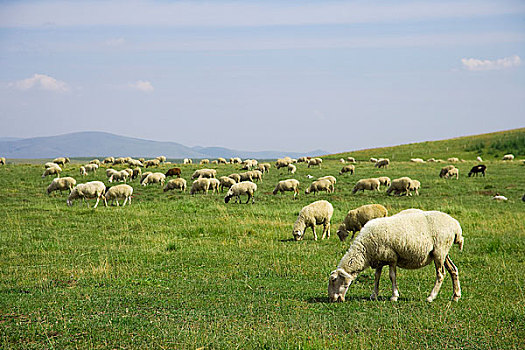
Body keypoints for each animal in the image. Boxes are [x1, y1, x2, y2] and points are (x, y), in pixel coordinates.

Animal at [328, 211, 462, 304]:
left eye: (333, 280)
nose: (332, 299)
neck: (365, 249)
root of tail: (455, 225)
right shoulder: (379, 259)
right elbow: (377, 276)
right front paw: (374, 295)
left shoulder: (392, 257)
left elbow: (392, 276)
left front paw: (394, 296)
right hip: (444, 253)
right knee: (453, 270)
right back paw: (456, 296)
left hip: (439, 251)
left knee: (441, 274)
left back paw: (431, 297)